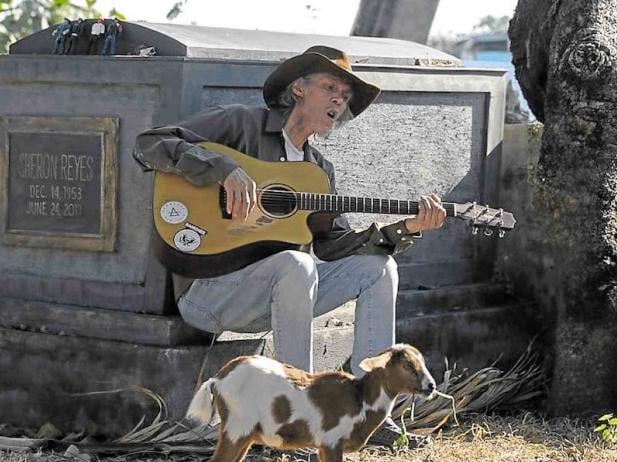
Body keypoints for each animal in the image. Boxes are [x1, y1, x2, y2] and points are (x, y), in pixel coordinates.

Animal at [185, 344, 436, 460]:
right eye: (407, 365)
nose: (431, 386)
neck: (360, 400)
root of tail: (218, 379)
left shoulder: (324, 446)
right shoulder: (331, 441)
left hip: (242, 433)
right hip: (237, 427)